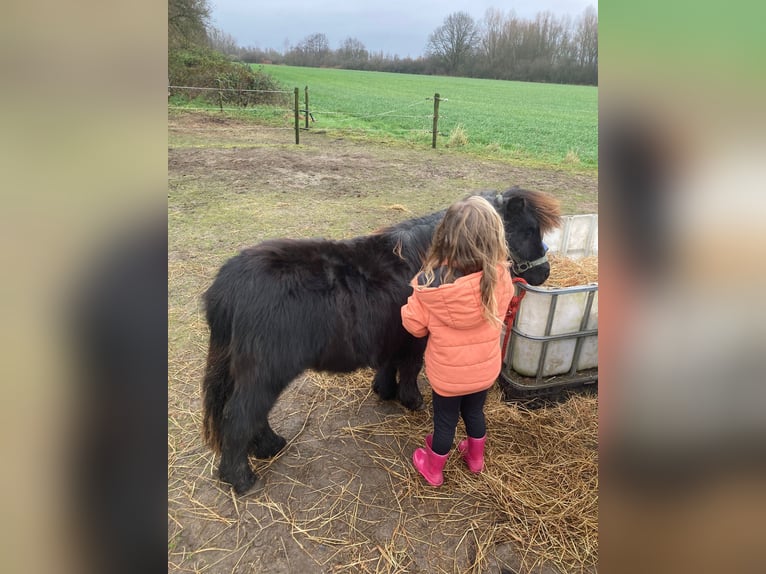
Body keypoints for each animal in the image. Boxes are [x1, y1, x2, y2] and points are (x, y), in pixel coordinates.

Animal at [204, 187, 564, 492]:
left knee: (248, 414)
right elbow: (410, 368)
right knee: (240, 415)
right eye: (528, 229)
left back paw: (268, 447)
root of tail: (228, 284)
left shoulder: (395, 334)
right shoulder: (416, 338)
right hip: (265, 371)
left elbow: (390, 365)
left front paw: (385, 391)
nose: (543, 274)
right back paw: (242, 478)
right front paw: (411, 400)